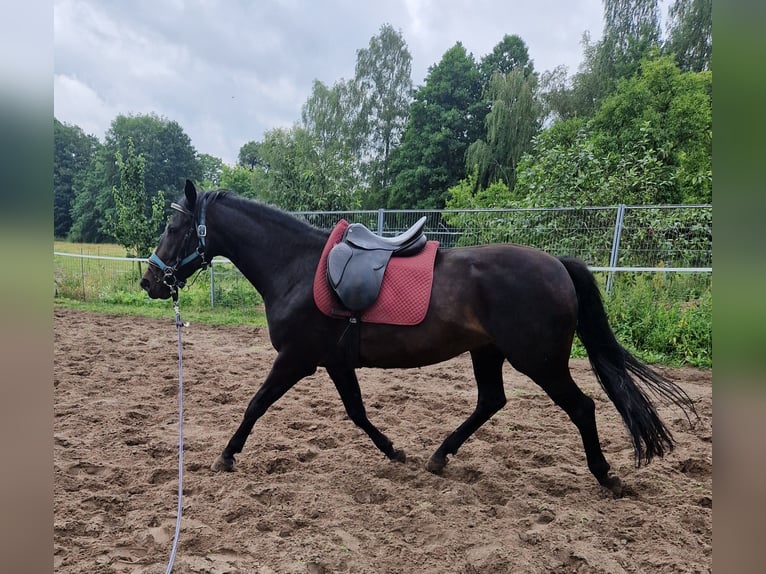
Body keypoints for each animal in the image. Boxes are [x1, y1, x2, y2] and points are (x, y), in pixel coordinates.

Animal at [141, 182, 700, 498]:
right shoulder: (335, 362)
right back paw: (439, 456)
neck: (297, 267)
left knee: (581, 407)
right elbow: (357, 413)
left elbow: (256, 404)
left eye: (173, 226)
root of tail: (557, 265)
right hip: (488, 353)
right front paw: (394, 452)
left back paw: (606, 477)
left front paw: (227, 456)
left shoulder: (296, 359)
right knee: (491, 401)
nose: (150, 282)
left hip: (539, 361)